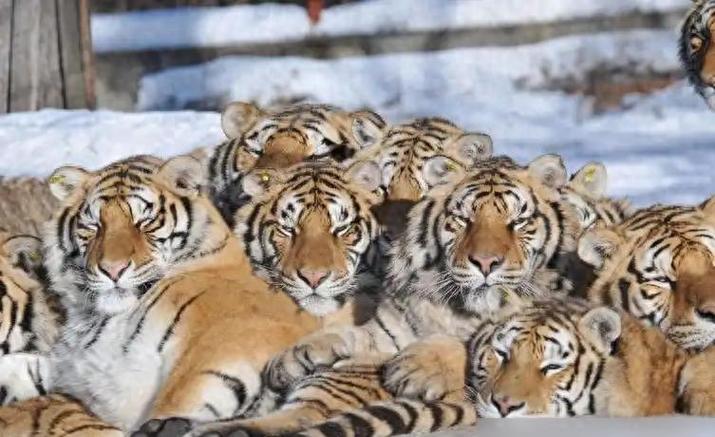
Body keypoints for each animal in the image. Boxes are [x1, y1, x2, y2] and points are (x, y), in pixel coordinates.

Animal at [0, 154, 339, 435]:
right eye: (94, 225)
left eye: (144, 221)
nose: (112, 269)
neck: (100, 318)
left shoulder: (235, 335)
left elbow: (182, 392)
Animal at [180, 153, 582, 436]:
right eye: (464, 219)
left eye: (518, 222)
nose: (486, 262)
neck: (457, 307)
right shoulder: (389, 329)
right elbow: (350, 334)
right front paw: (293, 359)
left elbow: (470, 346)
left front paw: (415, 368)